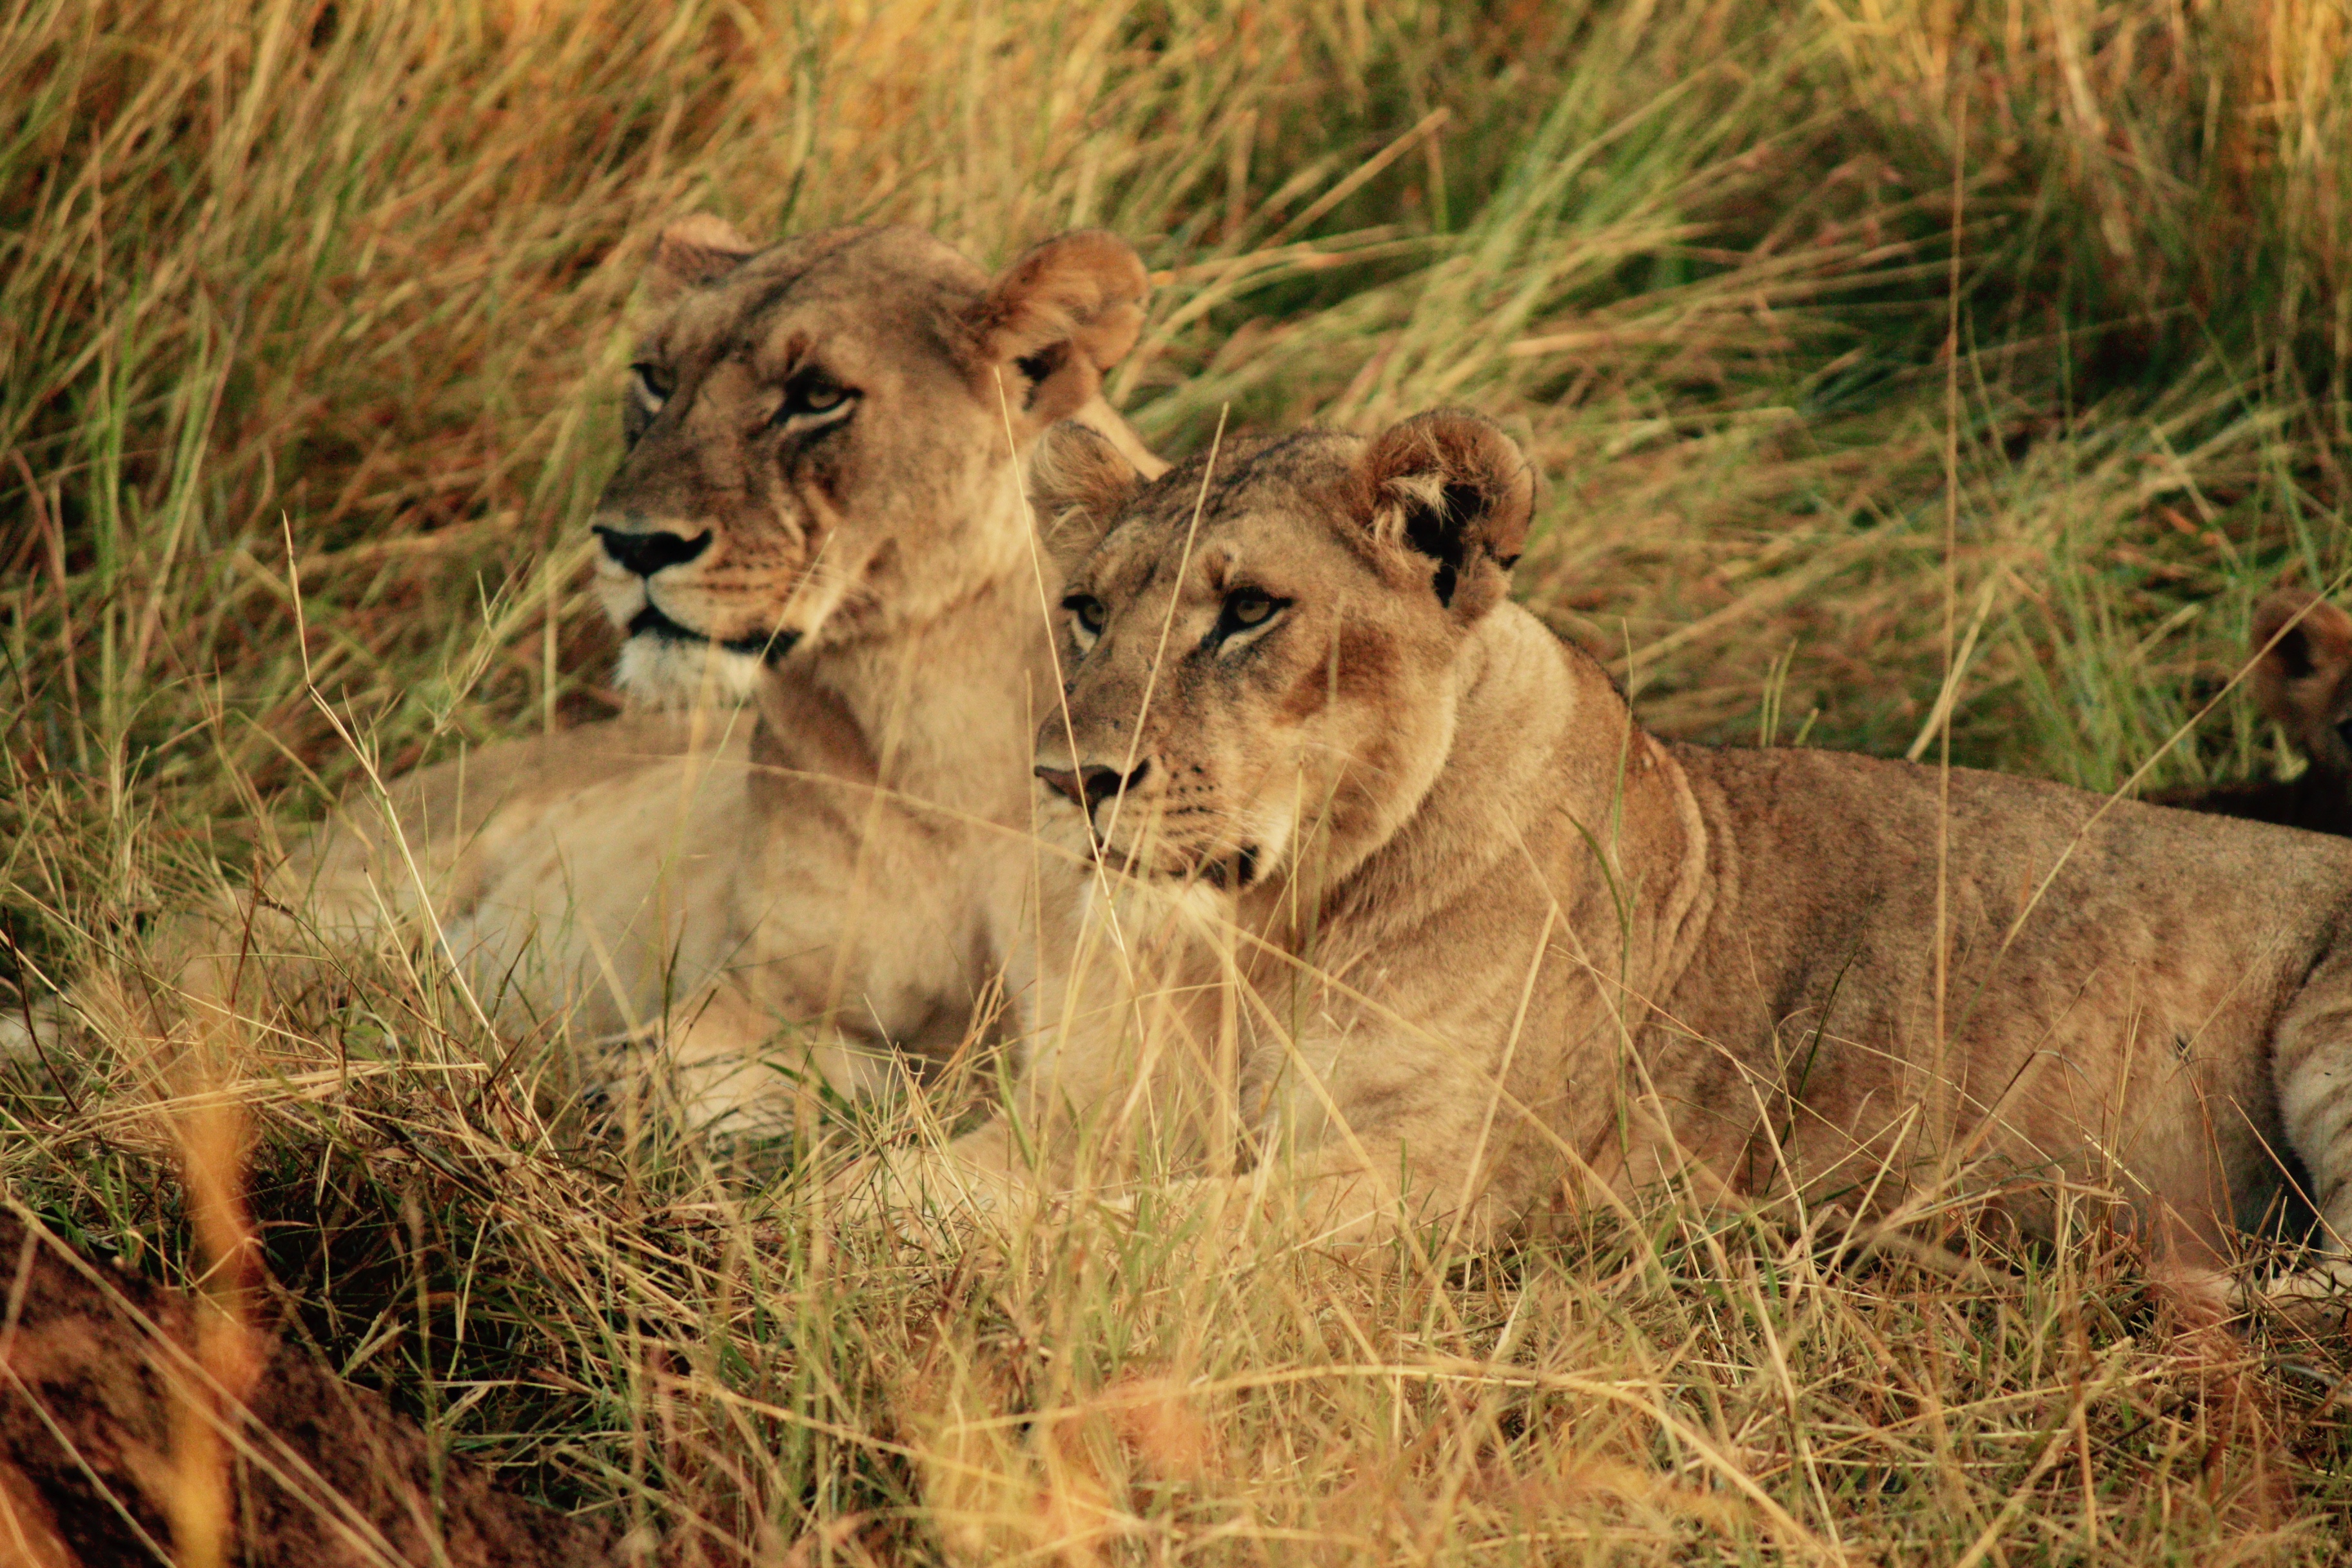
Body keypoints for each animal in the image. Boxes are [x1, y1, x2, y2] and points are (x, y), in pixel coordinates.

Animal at [35, 219, 1164, 1129]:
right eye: (658, 377)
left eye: (816, 396)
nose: (633, 543)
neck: (930, 720)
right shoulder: (760, 983)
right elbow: (729, 1054)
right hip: (314, 914)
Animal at [853, 409, 2352, 1306]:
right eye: (1086, 610)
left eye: (1251, 613)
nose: (1068, 781)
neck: (1268, 936)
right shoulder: (1093, 1108)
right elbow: (910, 1175)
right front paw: (833, 1215)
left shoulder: (1437, 1177)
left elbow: (1132, 1225)